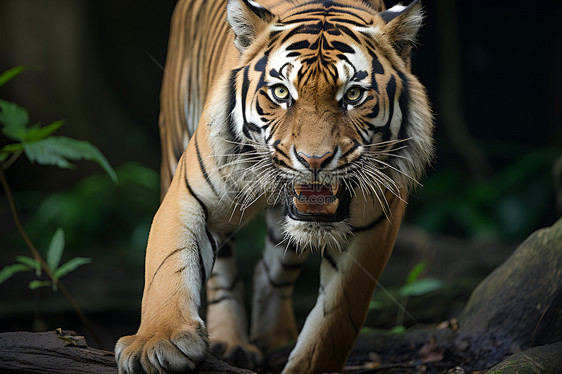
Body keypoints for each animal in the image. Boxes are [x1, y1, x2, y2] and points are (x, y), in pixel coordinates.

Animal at [112, 0, 428, 372]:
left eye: (352, 95)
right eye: (280, 93)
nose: (314, 160)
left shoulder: (375, 224)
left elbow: (336, 318)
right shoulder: (188, 195)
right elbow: (168, 265)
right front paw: (156, 344)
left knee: (273, 272)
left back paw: (274, 338)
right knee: (223, 275)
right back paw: (231, 342)